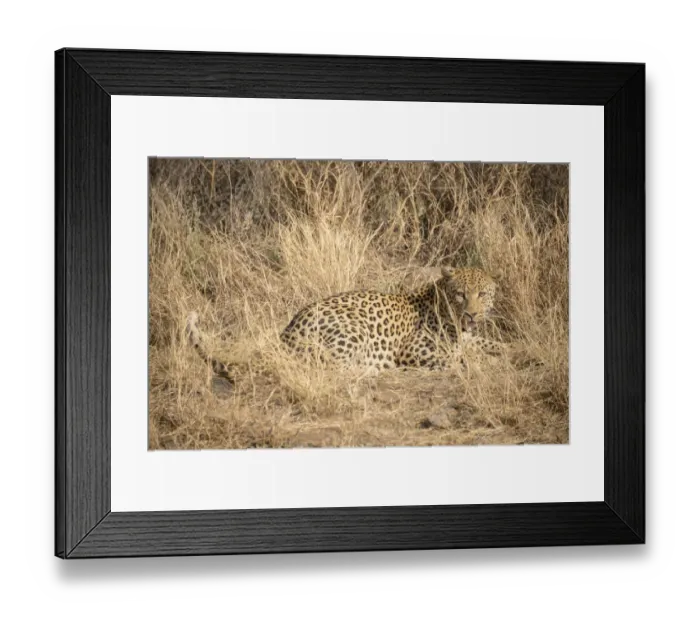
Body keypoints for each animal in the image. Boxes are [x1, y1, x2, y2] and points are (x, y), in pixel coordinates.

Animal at [187, 266, 511, 384]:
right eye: (460, 294)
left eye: (482, 294)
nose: (471, 315)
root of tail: (286, 334)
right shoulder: (413, 349)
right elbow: (454, 359)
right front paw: (482, 364)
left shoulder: (470, 338)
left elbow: (493, 345)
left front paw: (512, 350)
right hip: (353, 329)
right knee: (332, 369)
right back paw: (375, 371)